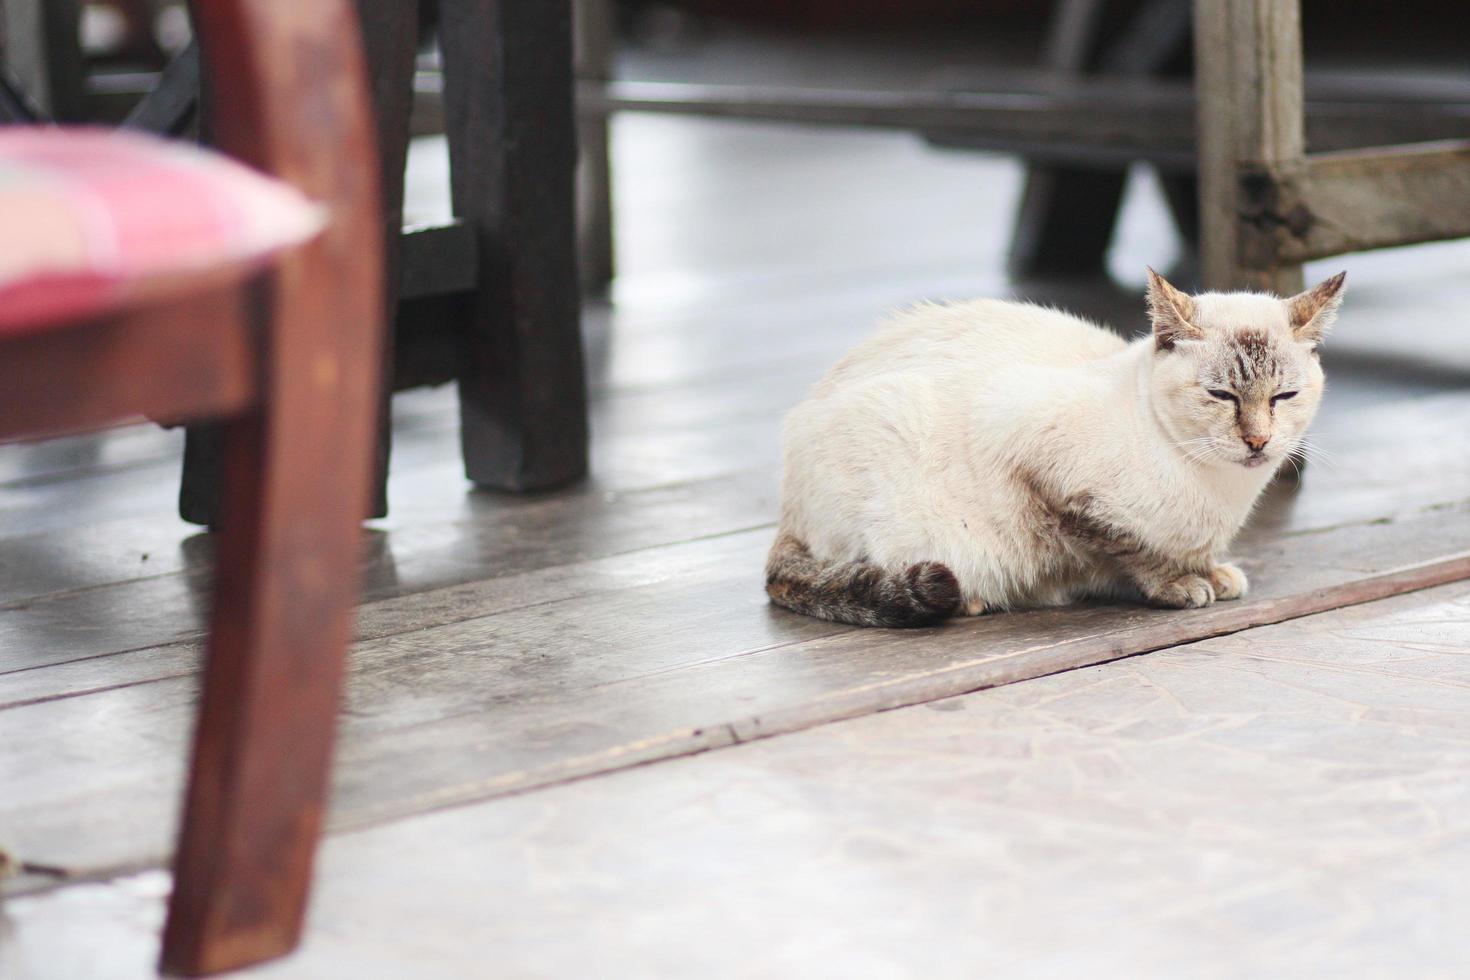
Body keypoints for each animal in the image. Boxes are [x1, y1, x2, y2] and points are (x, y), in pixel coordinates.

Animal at [764, 268, 1346, 628]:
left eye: (1284, 397)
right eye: (1221, 396)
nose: (1258, 440)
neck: (1220, 490)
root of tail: (786, 512)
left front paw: (1212, 573)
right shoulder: (1043, 470)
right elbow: (1125, 546)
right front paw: (1177, 584)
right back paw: (970, 600)